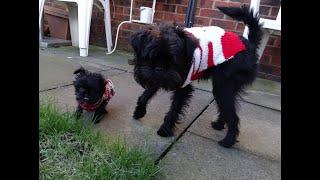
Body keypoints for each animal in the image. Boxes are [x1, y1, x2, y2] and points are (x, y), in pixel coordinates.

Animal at [130, 5, 262, 148]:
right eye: (150, 57)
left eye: (173, 60)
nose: (160, 68)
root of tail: (249, 45)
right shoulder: (156, 79)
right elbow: (145, 95)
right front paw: (139, 111)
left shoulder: (183, 87)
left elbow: (174, 109)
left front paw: (165, 129)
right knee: (225, 109)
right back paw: (218, 125)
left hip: (223, 87)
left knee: (233, 116)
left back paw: (228, 141)